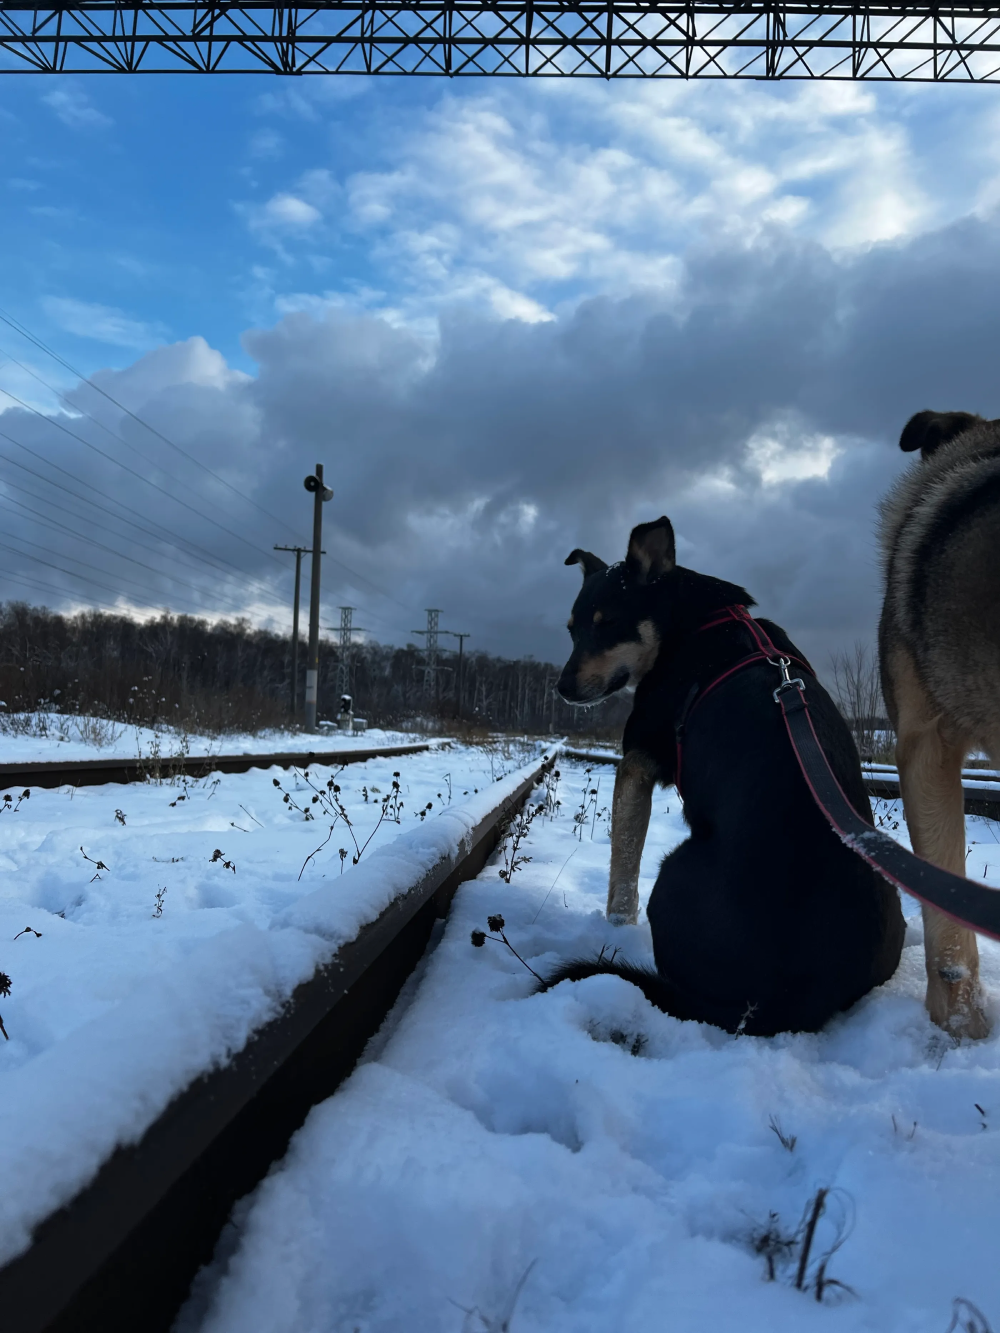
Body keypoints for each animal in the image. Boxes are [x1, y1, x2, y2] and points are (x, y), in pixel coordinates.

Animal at [552, 514, 906, 1034]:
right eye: (572, 630)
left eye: (609, 624)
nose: (561, 688)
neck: (687, 625)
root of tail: (791, 1001)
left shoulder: (636, 759)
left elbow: (623, 871)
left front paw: (614, 927)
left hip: (673, 872)